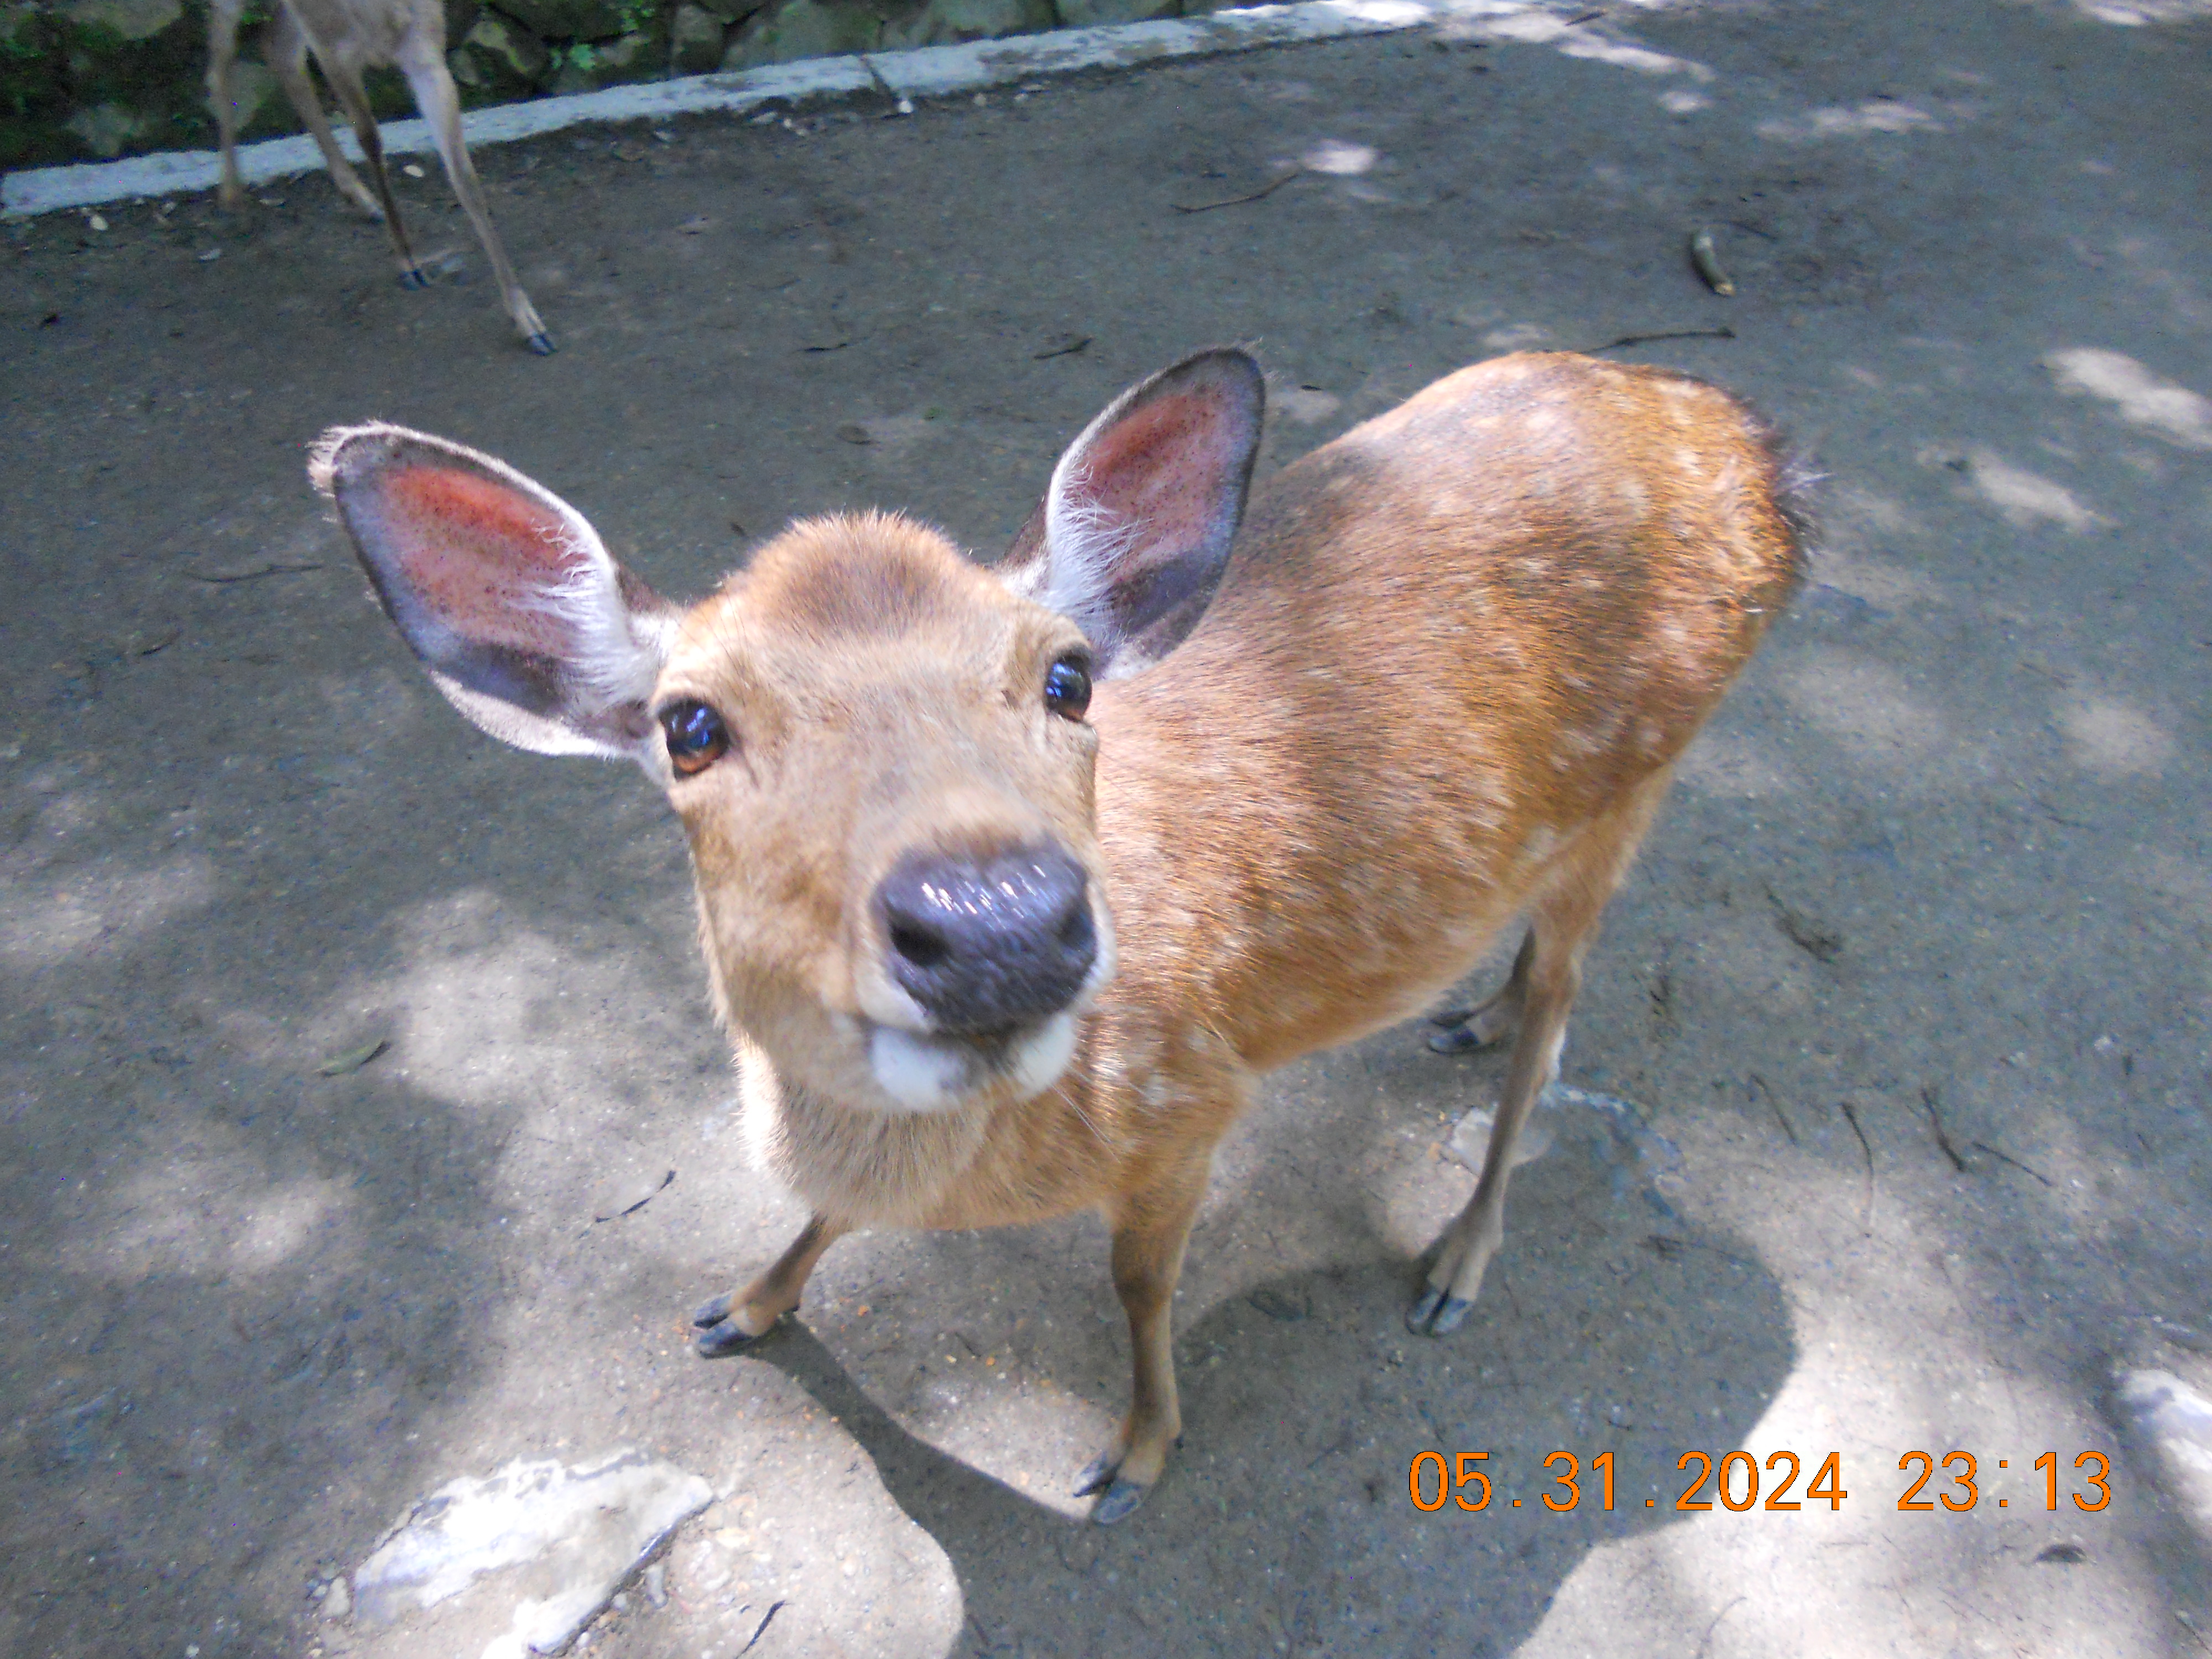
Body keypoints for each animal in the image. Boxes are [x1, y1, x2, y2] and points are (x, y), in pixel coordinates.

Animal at [207, 0, 553, 353]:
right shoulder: (333, 48)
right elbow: (370, 142)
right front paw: (407, 262)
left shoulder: (426, 48)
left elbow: (465, 179)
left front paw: (528, 321)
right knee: (221, 50)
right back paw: (231, 197)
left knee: (277, 49)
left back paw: (361, 200)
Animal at [311, 347, 1808, 1523]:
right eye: (689, 725)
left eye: (1067, 676)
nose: (997, 922)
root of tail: (1757, 444)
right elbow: (825, 1211)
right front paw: (741, 1302)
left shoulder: (1195, 1096)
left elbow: (1137, 1283)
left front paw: (1135, 1451)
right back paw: (1467, 1012)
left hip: (1644, 773)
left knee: (1562, 1013)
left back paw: (1455, 1257)